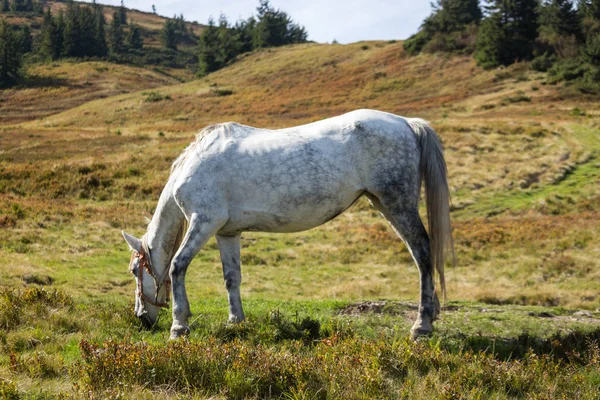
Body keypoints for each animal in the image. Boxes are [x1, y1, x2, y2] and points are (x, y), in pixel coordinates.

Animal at [123, 108, 454, 338]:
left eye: (134, 270)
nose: (141, 318)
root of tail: (407, 123)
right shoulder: (227, 233)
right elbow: (232, 278)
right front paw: (236, 322)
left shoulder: (203, 222)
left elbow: (178, 266)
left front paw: (179, 326)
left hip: (397, 204)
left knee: (423, 253)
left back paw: (422, 326)